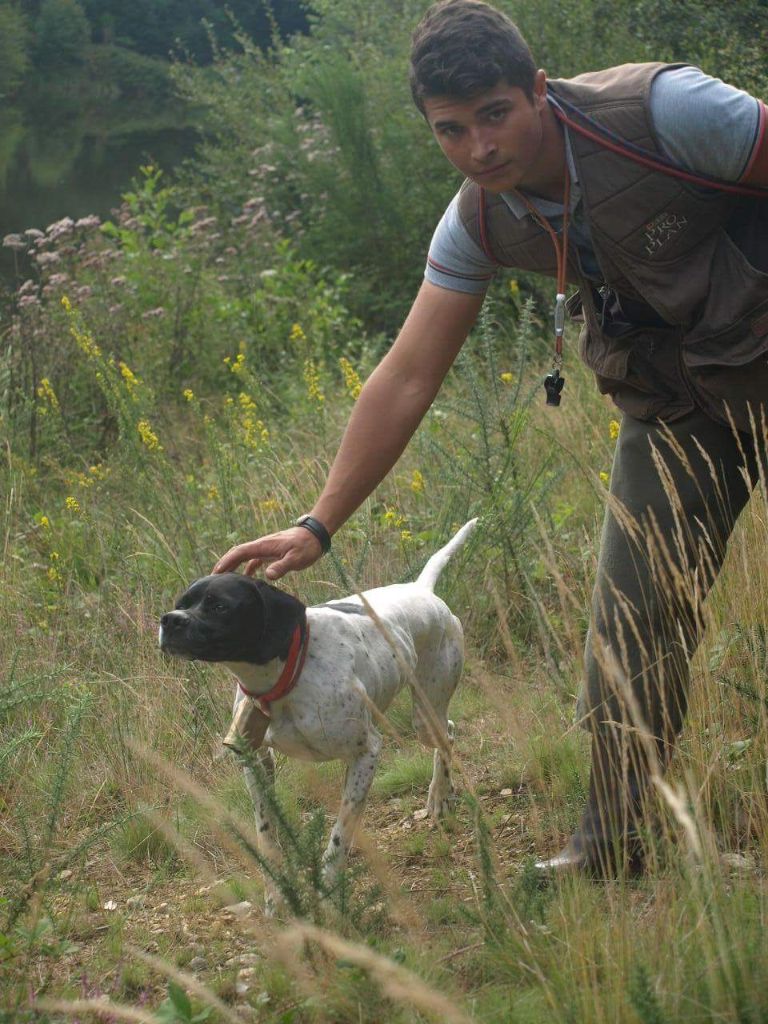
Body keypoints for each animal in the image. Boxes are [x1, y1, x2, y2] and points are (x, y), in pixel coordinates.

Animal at [159, 520, 479, 905]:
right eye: (181, 603)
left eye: (219, 606)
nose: (169, 620)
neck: (285, 673)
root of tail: (422, 590)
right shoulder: (256, 761)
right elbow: (266, 832)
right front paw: (276, 896)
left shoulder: (366, 752)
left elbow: (339, 835)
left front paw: (327, 893)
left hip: (426, 714)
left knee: (447, 734)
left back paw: (440, 796)